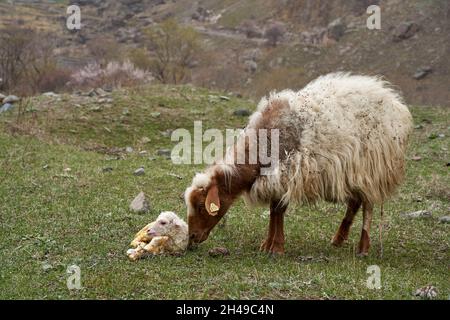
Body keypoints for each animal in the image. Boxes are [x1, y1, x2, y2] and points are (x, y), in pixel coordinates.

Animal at [185, 73, 414, 258]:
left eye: (200, 206)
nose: (192, 238)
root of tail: (394, 102)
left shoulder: (288, 172)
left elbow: (278, 209)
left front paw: (276, 247)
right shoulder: (275, 177)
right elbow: (274, 210)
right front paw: (267, 244)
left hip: (372, 167)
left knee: (367, 205)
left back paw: (363, 248)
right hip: (353, 172)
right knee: (355, 202)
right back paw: (338, 239)